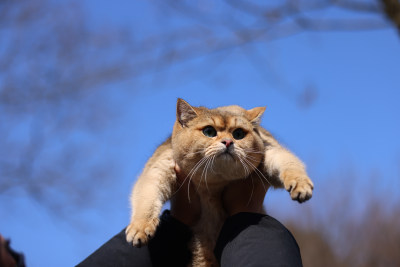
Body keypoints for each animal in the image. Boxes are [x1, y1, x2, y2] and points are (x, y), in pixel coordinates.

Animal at [126, 99, 314, 267]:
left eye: (238, 134)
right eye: (209, 131)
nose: (228, 142)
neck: (214, 184)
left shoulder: (270, 150)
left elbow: (288, 162)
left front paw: (301, 185)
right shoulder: (159, 167)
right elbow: (147, 196)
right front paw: (140, 228)